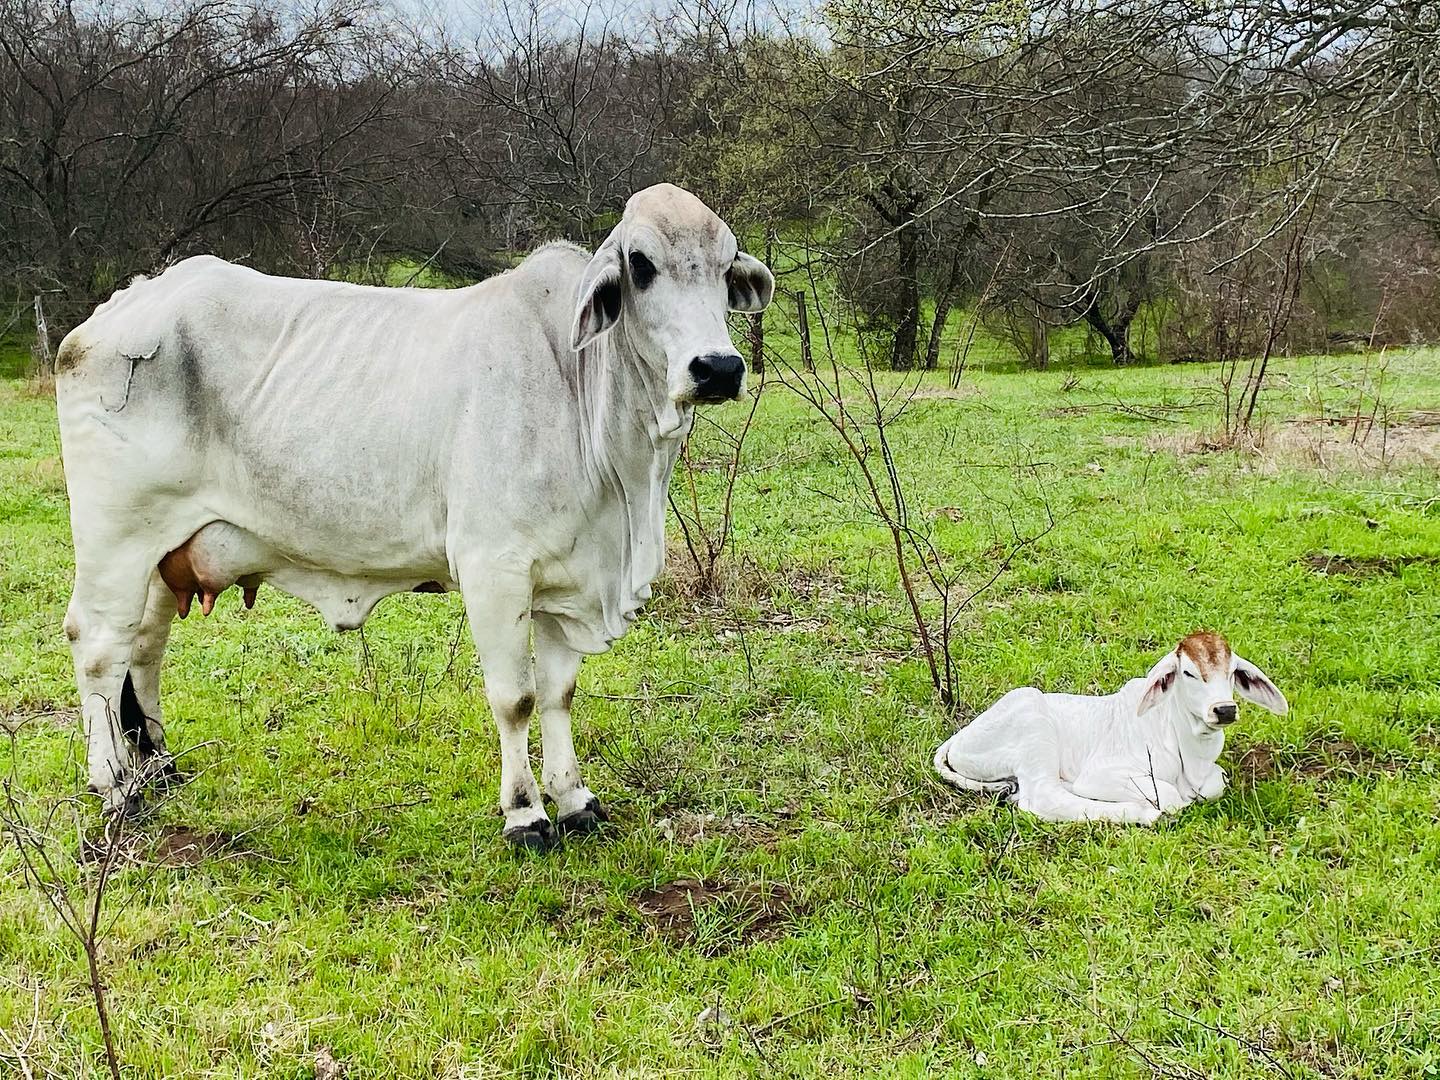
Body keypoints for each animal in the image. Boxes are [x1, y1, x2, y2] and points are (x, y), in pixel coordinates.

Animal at [54, 183, 774, 850]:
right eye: (641, 265)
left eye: (725, 266)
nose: (717, 368)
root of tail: (117, 310)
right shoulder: (494, 569)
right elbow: (515, 697)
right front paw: (525, 814)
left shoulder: (567, 578)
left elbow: (559, 693)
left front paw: (575, 801)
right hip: (116, 538)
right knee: (99, 648)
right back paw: (117, 789)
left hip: (163, 553)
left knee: (144, 647)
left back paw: (158, 766)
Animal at [932, 632, 1288, 823]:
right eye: (1188, 672)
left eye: (1232, 672)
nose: (1224, 710)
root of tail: (959, 739)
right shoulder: (1102, 773)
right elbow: (1171, 795)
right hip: (1034, 726)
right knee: (1045, 798)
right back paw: (1141, 814)